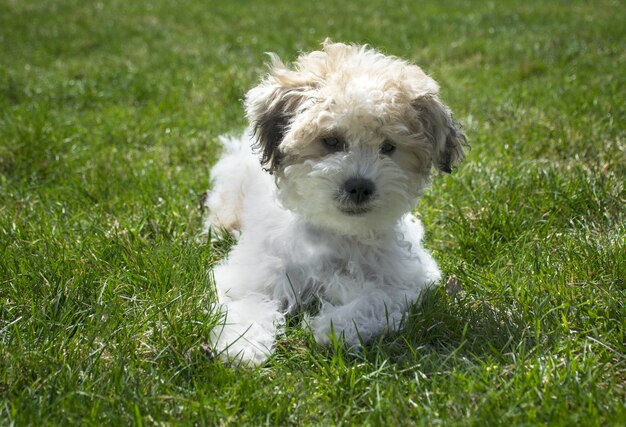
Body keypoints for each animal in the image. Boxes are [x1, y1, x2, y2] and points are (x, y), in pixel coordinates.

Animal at [205, 41, 464, 366]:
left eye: (388, 147)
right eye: (331, 141)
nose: (359, 186)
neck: (336, 231)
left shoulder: (405, 281)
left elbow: (375, 299)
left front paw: (333, 328)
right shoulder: (252, 273)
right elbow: (248, 302)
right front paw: (244, 347)